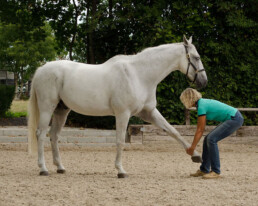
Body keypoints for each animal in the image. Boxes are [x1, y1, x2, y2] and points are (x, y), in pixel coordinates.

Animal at [27, 35, 208, 177]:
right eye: (196, 57)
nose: (204, 82)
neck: (139, 75)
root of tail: (41, 69)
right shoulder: (123, 114)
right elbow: (120, 141)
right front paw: (120, 170)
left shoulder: (148, 112)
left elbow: (173, 131)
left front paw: (195, 155)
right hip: (47, 108)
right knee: (41, 134)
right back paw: (43, 169)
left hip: (61, 110)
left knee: (54, 135)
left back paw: (60, 167)